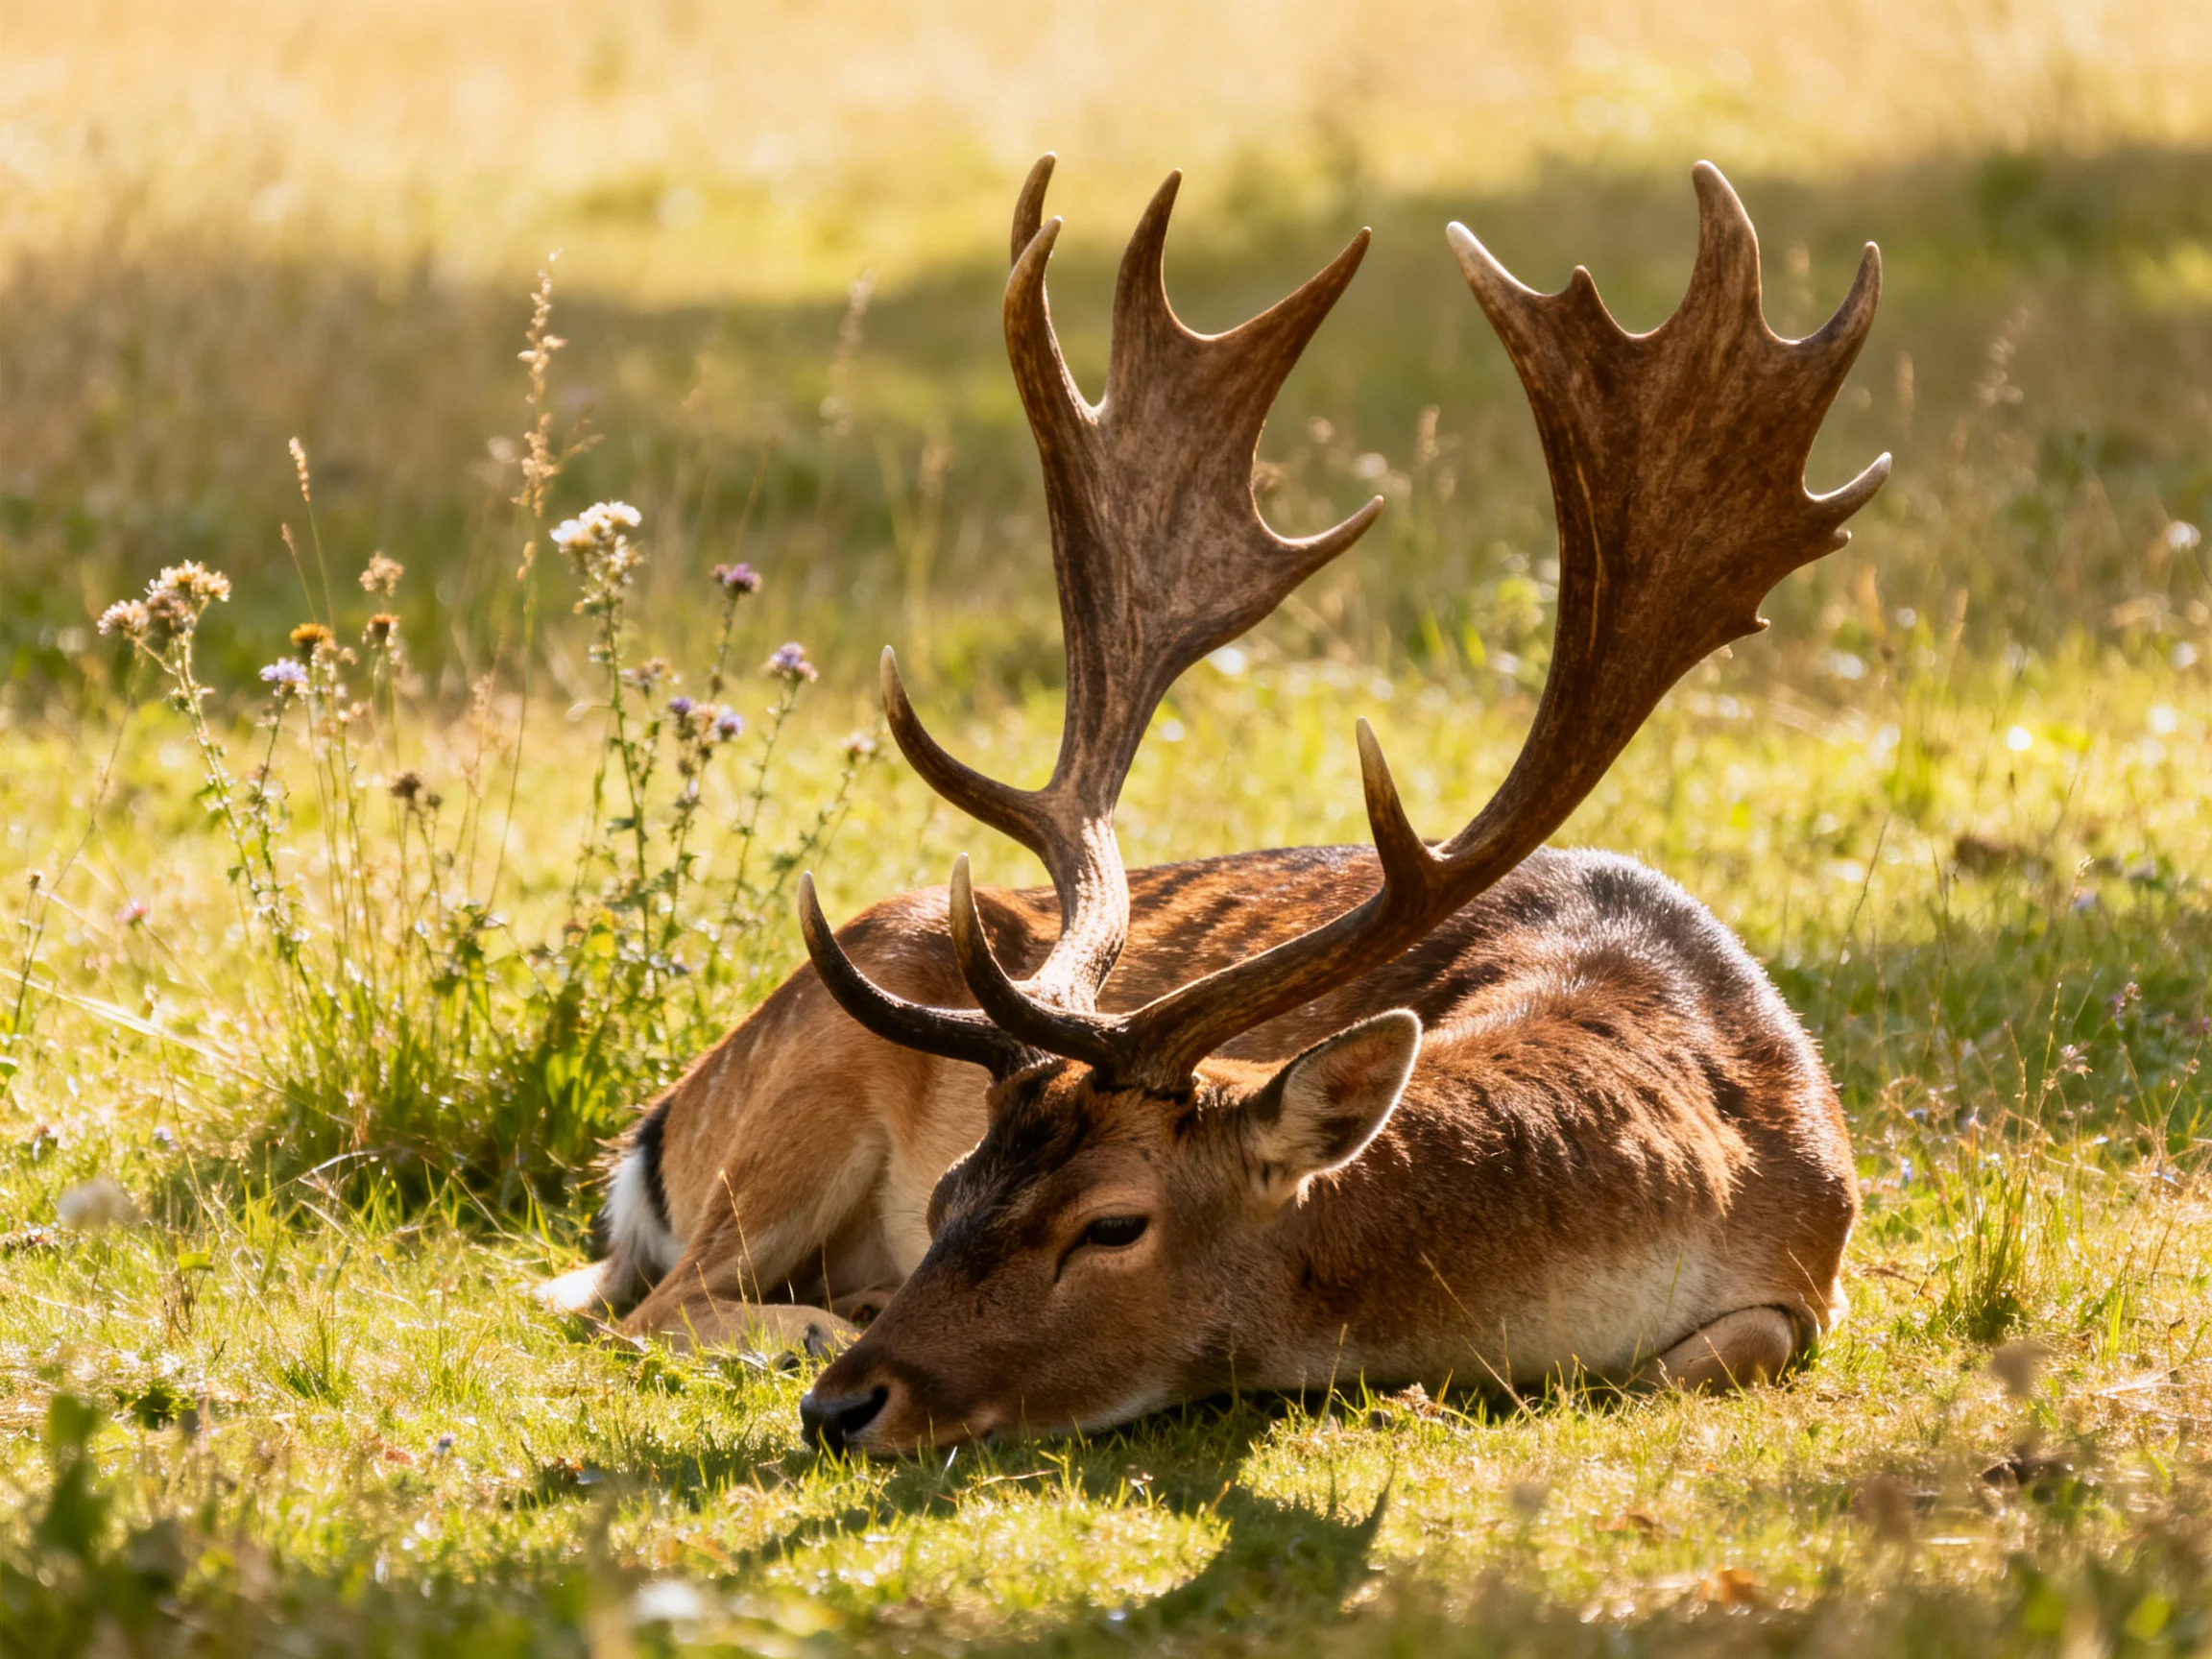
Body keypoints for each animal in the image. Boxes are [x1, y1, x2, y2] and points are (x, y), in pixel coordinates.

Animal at [534, 155, 1889, 1457]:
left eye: (1110, 1225)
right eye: (949, 1193)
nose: (847, 1408)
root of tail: (664, 1122)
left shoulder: (1809, 1272)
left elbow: (1723, 1353)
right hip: (797, 1104)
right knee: (645, 1308)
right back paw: (817, 1323)